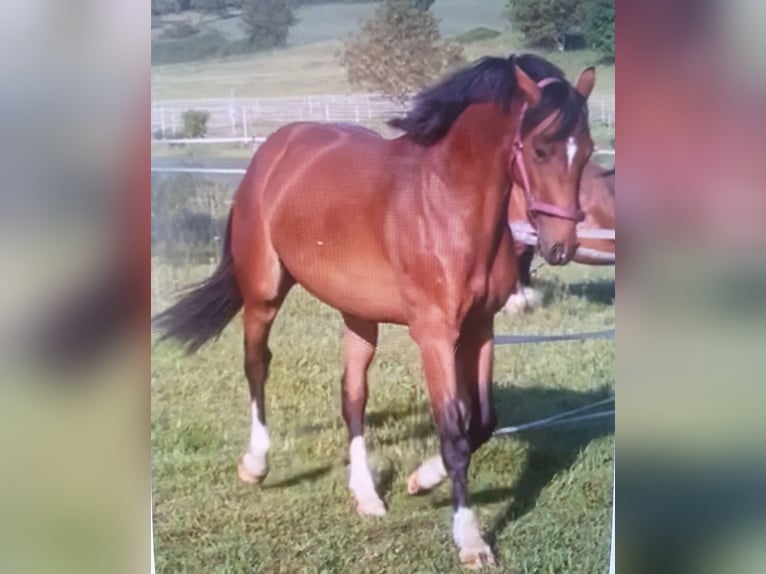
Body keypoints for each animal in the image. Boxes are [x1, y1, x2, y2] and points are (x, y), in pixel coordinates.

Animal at [153, 53, 596, 569]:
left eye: (587, 150)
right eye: (542, 150)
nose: (561, 247)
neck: (446, 203)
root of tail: (276, 148)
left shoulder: (480, 329)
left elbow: (482, 422)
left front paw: (420, 481)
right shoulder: (435, 335)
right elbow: (454, 433)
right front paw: (470, 540)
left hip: (359, 316)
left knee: (352, 396)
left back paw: (366, 495)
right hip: (263, 292)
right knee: (257, 365)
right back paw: (255, 464)